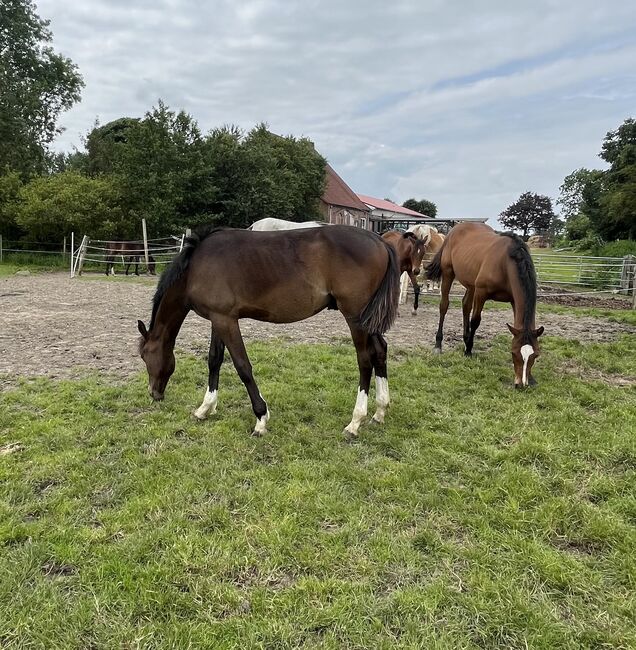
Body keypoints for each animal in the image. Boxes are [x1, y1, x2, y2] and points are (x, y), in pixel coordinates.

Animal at [137, 224, 400, 436]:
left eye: (144, 356)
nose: (154, 393)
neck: (196, 267)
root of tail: (380, 241)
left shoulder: (226, 321)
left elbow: (242, 366)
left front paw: (261, 418)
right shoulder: (218, 318)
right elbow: (214, 360)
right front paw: (205, 408)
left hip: (355, 318)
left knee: (364, 360)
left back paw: (355, 422)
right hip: (368, 319)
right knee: (380, 351)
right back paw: (380, 411)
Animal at [424, 221, 544, 384]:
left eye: (536, 355)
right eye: (514, 353)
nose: (521, 383)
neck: (505, 263)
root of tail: (454, 229)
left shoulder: (513, 301)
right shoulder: (481, 293)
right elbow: (475, 320)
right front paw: (468, 351)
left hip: (470, 284)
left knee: (465, 305)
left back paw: (465, 338)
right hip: (449, 274)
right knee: (444, 305)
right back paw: (439, 344)